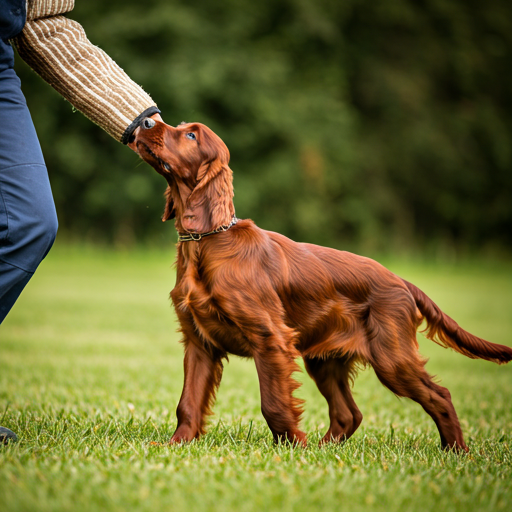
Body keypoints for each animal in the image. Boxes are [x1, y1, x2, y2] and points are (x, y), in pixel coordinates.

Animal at [132, 118, 512, 450]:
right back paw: (324, 449)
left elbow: (273, 403)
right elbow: (188, 402)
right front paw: (176, 444)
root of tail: (400, 280)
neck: (208, 241)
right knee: (349, 414)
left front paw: (291, 447)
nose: (146, 122)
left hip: (391, 358)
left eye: (192, 135)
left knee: (439, 396)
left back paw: (456, 451)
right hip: (325, 359)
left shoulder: (270, 338)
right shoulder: (199, 343)